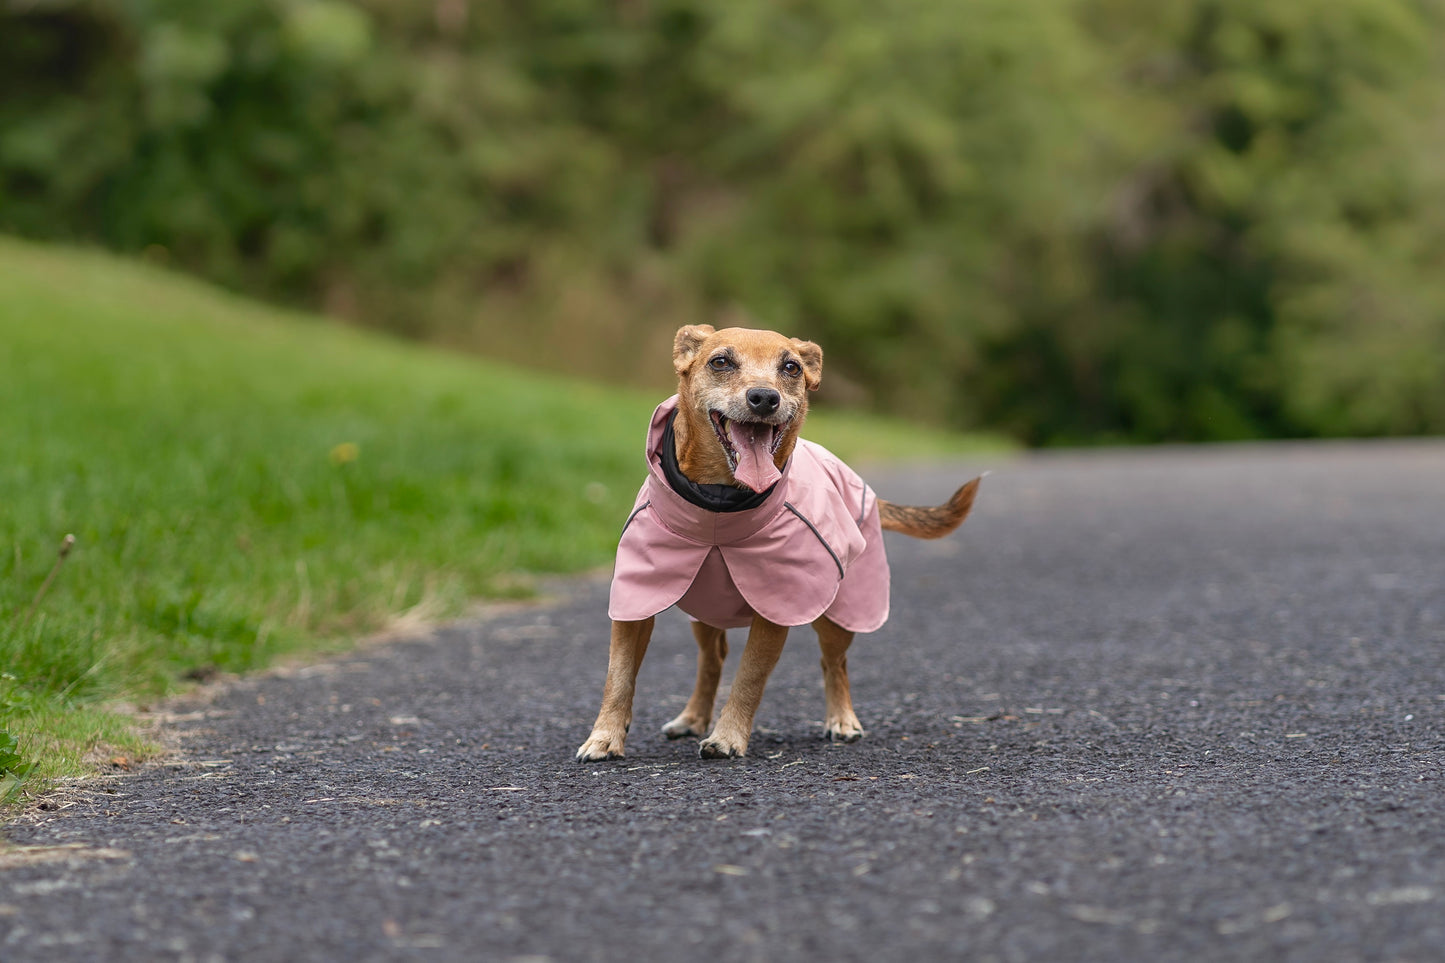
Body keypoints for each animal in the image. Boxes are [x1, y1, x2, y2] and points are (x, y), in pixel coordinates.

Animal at [575, 326, 982, 763]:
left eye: (791, 367)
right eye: (720, 361)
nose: (764, 397)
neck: (719, 504)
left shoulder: (775, 610)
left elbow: (749, 678)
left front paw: (728, 736)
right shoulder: (633, 604)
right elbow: (618, 676)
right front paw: (604, 736)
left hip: (837, 614)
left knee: (834, 664)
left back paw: (842, 719)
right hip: (704, 612)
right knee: (711, 660)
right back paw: (693, 717)